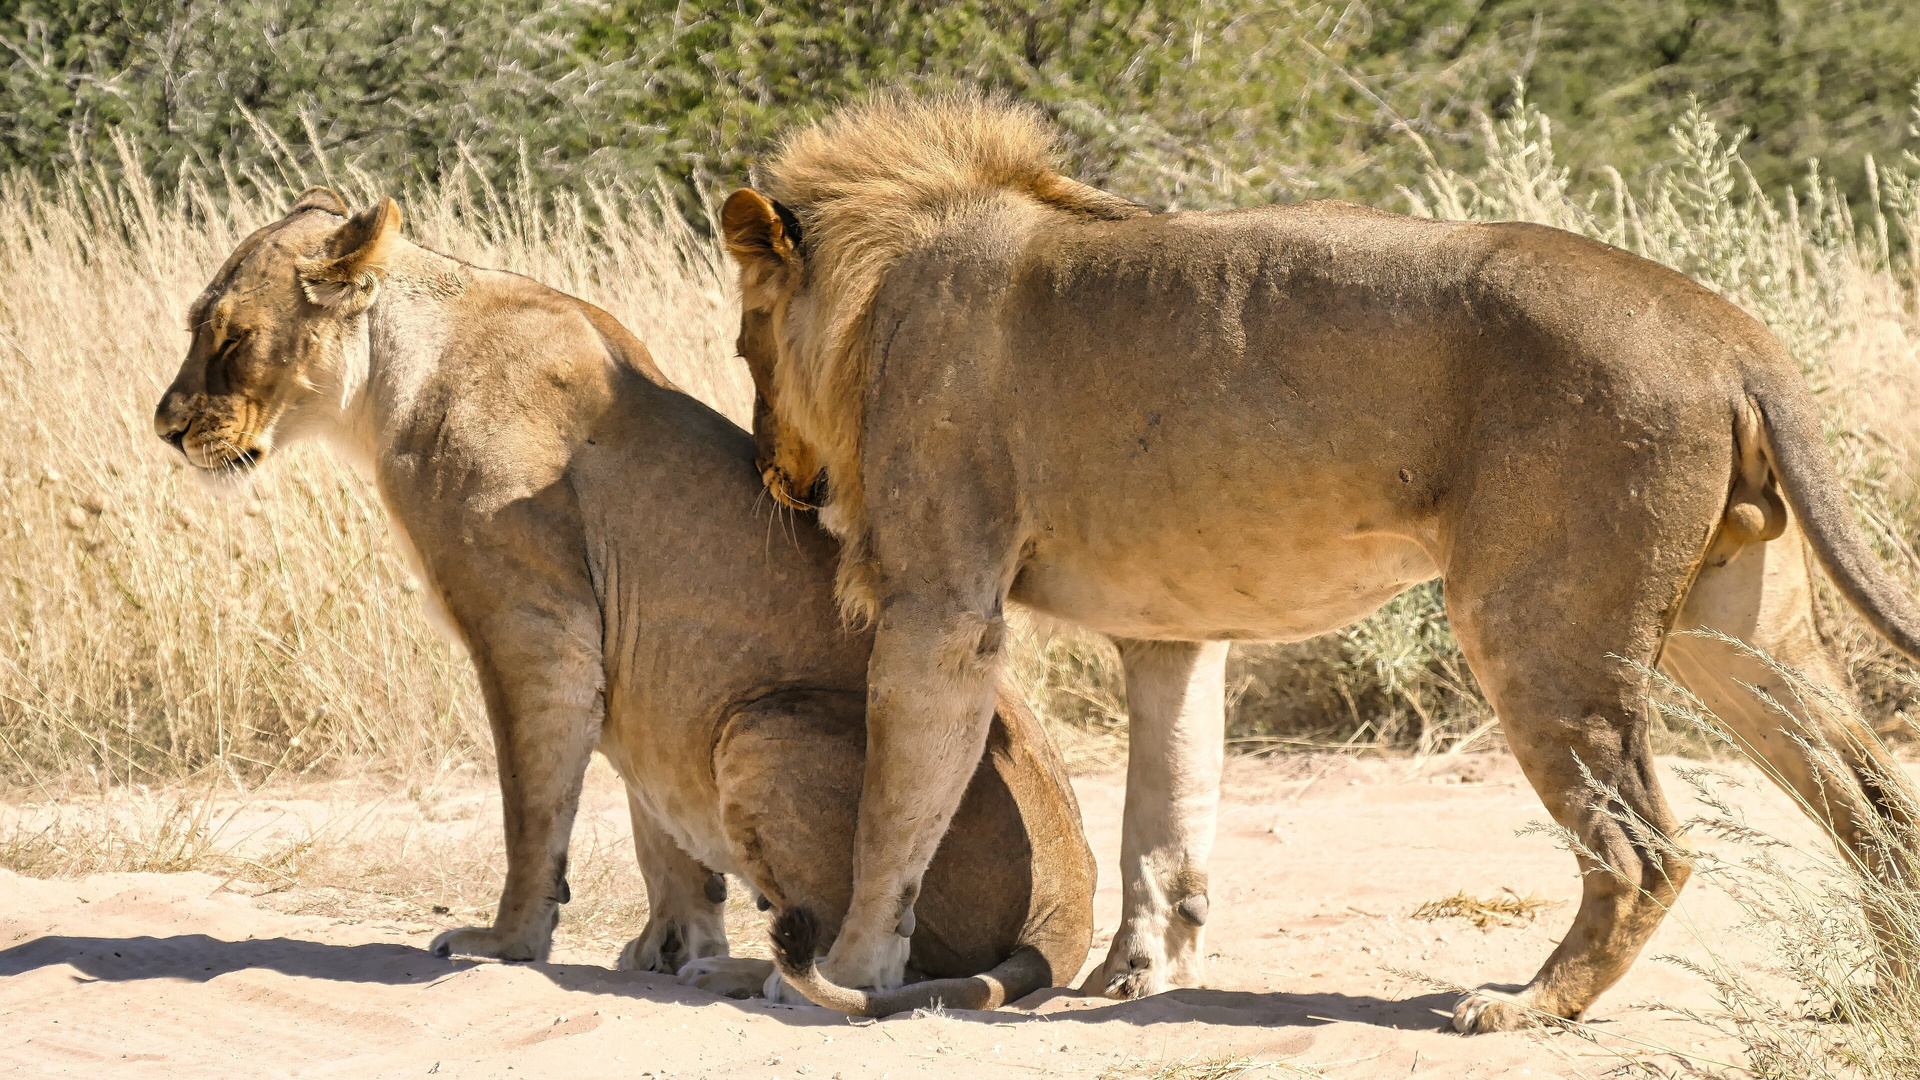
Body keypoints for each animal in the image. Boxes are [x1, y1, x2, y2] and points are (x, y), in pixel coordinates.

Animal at [149, 187, 1098, 1006]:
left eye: (230, 341)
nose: (165, 427)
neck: (391, 380)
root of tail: (1069, 909)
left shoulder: (535, 631)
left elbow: (531, 811)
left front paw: (508, 944)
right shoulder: (638, 683)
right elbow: (660, 837)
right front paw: (665, 947)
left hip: (763, 725)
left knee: (870, 954)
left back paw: (753, 977)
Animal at [721, 96, 1920, 1030]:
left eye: (741, 343)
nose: (765, 465)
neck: (885, 280)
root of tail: (1723, 325)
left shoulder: (940, 607)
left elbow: (894, 814)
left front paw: (844, 974)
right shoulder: (1168, 628)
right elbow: (1166, 810)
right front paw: (1139, 972)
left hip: (1536, 624)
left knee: (1646, 848)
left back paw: (1526, 1005)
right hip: (1740, 620)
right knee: (1869, 796)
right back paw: (1878, 990)